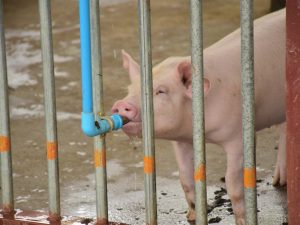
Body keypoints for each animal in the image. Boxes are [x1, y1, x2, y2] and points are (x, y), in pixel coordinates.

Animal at [112, 8, 286, 225]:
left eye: (161, 91)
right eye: (129, 89)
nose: (121, 104)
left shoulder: (238, 137)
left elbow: (233, 182)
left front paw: (243, 220)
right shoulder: (181, 141)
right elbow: (185, 177)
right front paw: (193, 216)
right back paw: (278, 180)